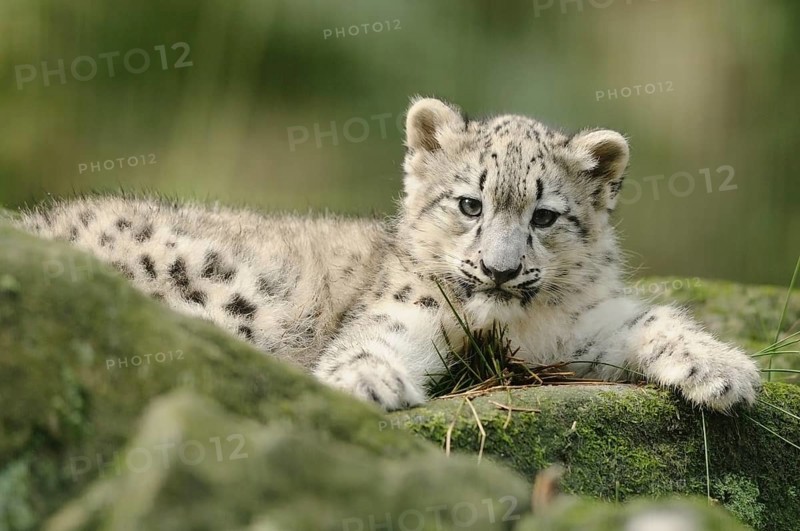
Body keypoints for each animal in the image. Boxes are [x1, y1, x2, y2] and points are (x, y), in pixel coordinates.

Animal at [15, 97, 761, 411]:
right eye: (470, 204)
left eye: (545, 215)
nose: (499, 269)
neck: (510, 329)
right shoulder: (409, 309)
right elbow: (374, 338)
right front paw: (365, 381)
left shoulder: (588, 323)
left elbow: (654, 318)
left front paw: (723, 372)